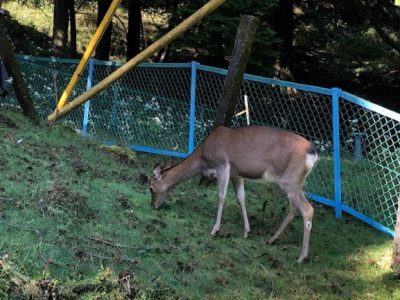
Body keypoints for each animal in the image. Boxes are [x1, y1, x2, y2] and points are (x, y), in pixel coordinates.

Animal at [148, 126, 320, 262]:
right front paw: (247, 231)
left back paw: (301, 257)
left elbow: (221, 196)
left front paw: (215, 229)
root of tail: (314, 154)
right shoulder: (237, 174)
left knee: (307, 209)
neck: (203, 159)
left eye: (150, 187)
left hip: (290, 180)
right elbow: (241, 198)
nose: (153, 205)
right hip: (297, 183)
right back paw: (272, 239)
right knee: (295, 207)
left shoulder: (223, 165)